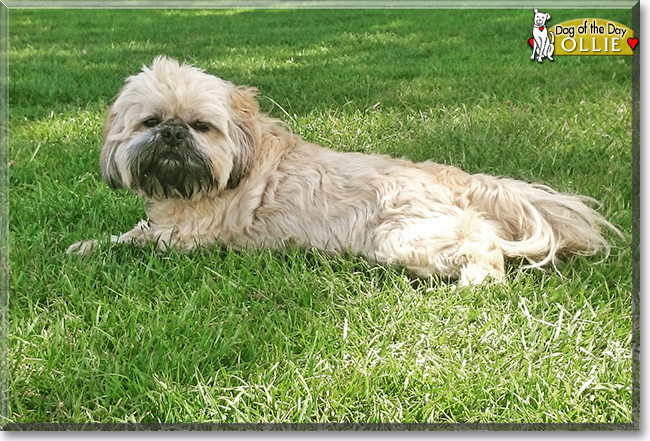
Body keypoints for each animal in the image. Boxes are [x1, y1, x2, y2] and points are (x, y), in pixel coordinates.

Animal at [67, 55, 616, 286]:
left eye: (201, 127)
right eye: (151, 122)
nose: (173, 134)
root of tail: (456, 179)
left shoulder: (180, 239)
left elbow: (129, 241)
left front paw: (88, 247)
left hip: (403, 237)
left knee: (485, 246)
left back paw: (476, 281)